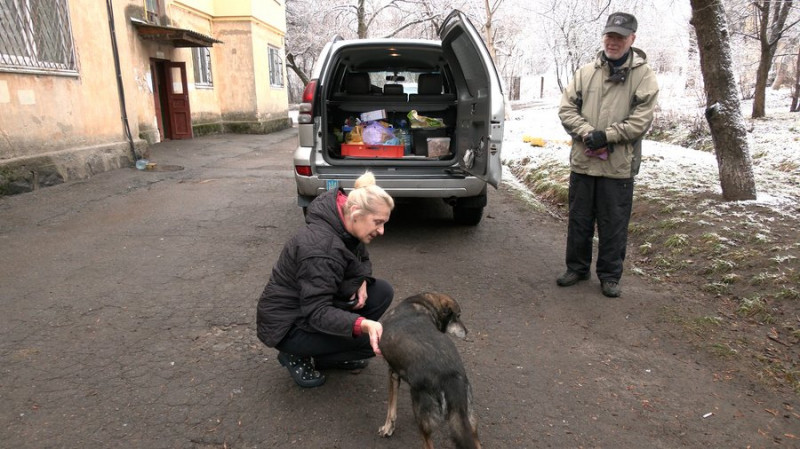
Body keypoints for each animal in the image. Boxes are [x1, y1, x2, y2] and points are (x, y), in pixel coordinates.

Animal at [376, 292, 482, 448]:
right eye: (457, 316)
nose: (467, 331)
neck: (423, 304)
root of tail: (450, 377)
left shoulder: (393, 373)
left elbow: (391, 409)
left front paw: (387, 428)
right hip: (468, 420)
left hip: (423, 417)